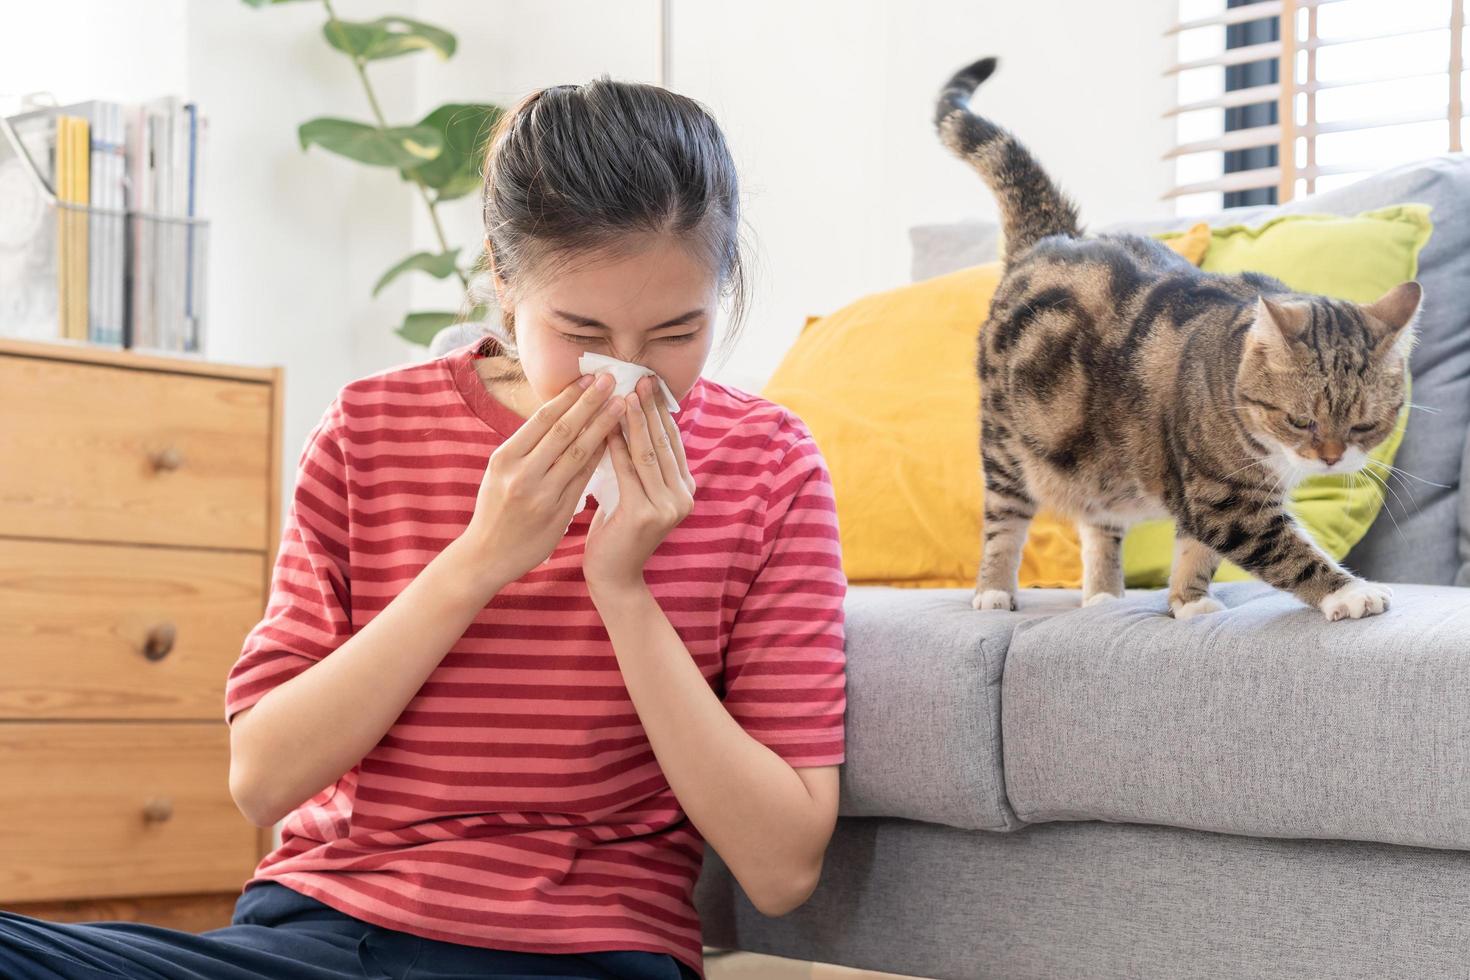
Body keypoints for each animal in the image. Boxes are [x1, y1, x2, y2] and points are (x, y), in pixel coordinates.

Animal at [934, 55, 1417, 620]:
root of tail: (1052, 238)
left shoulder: (1206, 493)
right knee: (1004, 522)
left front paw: (1190, 601)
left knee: (1098, 522)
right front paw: (1351, 591)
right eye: (1301, 420)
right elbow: (1286, 552)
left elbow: (1196, 551)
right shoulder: (1224, 498)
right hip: (1007, 444)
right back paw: (993, 591)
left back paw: (1103, 597)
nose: (1331, 458)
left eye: (1364, 425)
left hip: (1097, 455)